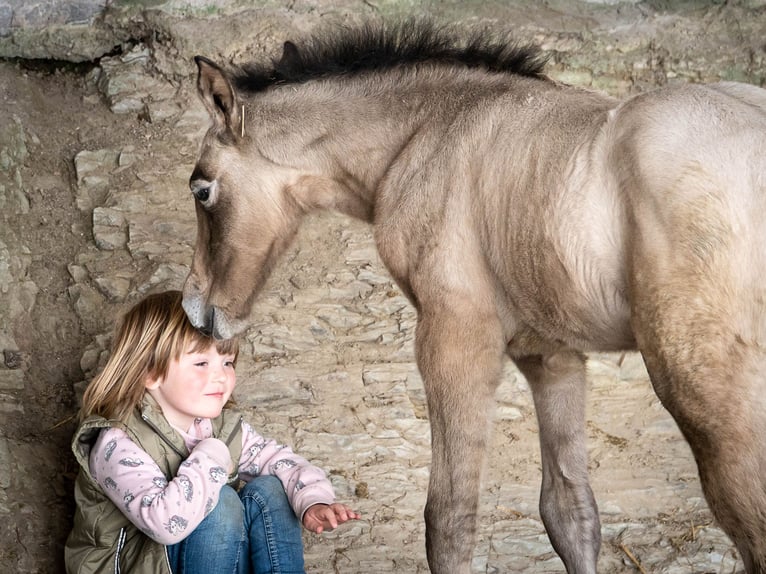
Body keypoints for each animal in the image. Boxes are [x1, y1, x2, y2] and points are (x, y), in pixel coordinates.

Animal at [183, 21, 766, 574]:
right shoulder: (550, 355)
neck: (426, 134)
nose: (196, 310)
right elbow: (569, 509)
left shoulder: (454, 341)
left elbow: (449, 517)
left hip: (707, 396)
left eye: (202, 189)